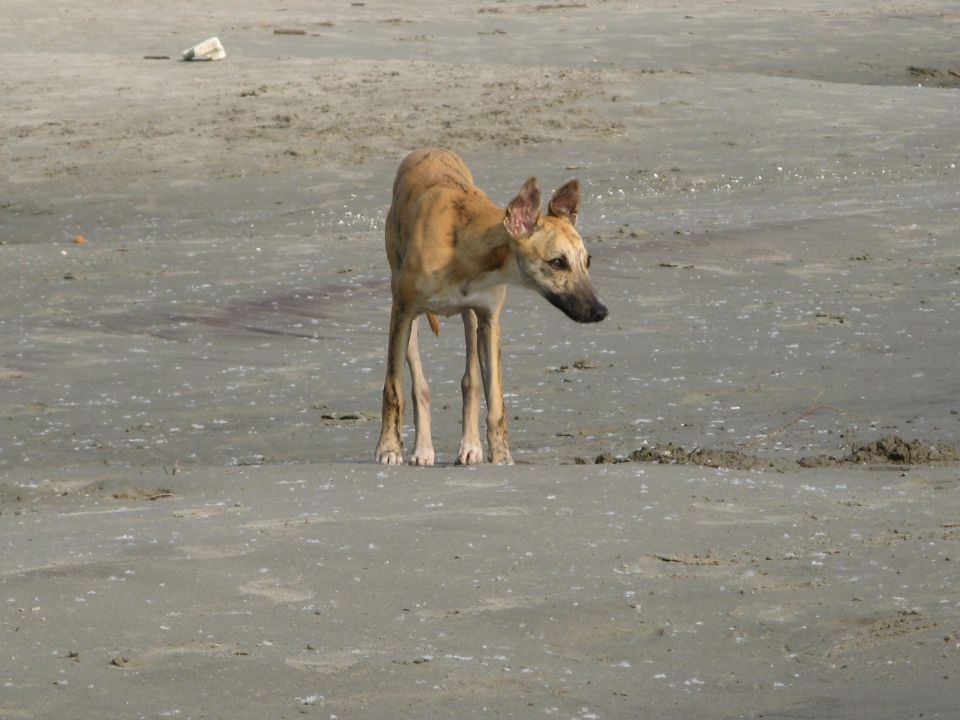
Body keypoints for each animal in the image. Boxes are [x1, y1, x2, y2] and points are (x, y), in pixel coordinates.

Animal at [376, 150, 608, 466]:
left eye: (588, 260)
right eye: (558, 262)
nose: (600, 311)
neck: (465, 248)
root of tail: (431, 149)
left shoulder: (489, 319)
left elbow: (495, 401)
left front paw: (501, 456)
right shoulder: (402, 312)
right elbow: (393, 389)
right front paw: (388, 448)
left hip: (471, 320)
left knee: (471, 380)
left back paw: (470, 446)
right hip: (407, 313)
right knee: (419, 384)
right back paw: (422, 449)